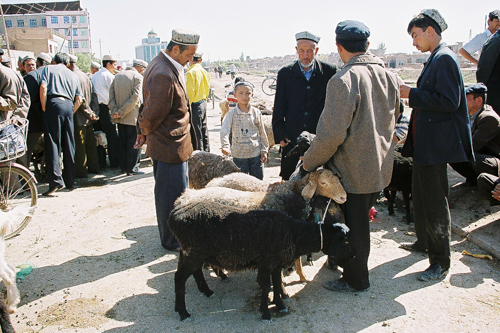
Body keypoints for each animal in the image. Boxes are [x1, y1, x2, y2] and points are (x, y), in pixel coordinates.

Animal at [170, 200, 354, 322]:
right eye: (345, 241)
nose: (353, 257)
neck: (295, 234)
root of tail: (174, 215)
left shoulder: (276, 264)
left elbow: (277, 283)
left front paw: (280, 305)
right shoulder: (266, 262)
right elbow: (266, 287)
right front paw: (266, 312)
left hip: (190, 251)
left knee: (195, 272)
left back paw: (206, 292)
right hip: (195, 252)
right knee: (179, 278)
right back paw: (183, 312)